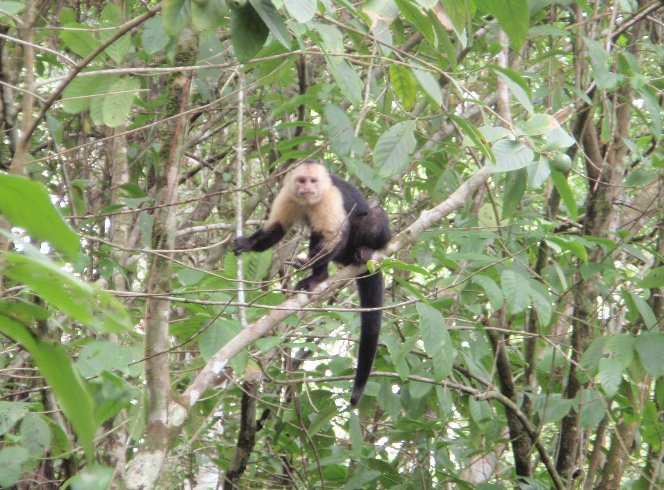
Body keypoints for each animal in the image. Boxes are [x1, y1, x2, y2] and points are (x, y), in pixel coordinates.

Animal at [233, 162, 390, 406]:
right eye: (301, 180)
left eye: (313, 181)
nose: (307, 188)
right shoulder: (288, 195)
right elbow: (277, 228)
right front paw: (247, 243)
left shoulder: (330, 197)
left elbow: (334, 236)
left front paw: (305, 262)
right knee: (317, 233)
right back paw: (319, 277)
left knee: (374, 216)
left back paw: (365, 250)